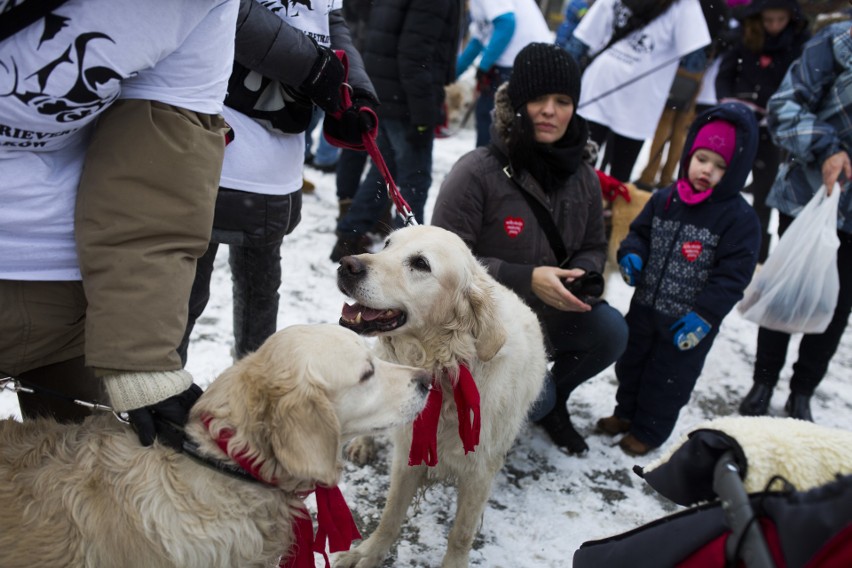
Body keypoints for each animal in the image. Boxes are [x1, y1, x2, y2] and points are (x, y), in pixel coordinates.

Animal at [332, 224, 544, 564]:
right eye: (387, 244)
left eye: (421, 264)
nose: (347, 264)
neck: (446, 367)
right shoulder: (409, 451)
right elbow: (391, 514)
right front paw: (368, 553)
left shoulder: (480, 472)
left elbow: (461, 534)